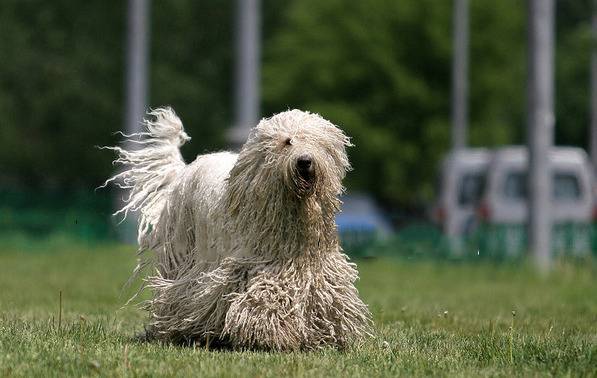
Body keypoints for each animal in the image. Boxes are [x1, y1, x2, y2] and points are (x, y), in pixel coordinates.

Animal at [105, 108, 370, 350]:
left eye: (317, 142)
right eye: (288, 141)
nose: (305, 161)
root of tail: (185, 171)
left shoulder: (316, 271)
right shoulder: (252, 267)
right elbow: (263, 297)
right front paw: (271, 333)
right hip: (183, 254)